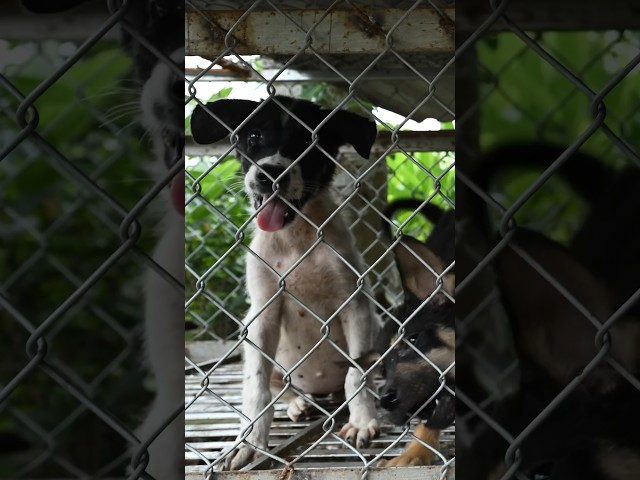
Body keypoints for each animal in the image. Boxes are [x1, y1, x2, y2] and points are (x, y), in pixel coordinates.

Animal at [190, 95, 380, 470]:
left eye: (308, 140)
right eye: (253, 136)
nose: (270, 174)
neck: (296, 238)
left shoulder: (356, 305)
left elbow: (356, 374)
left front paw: (361, 420)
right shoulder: (262, 314)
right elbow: (256, 387)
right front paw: (249, 442)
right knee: (282, 386)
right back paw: (297, 403)